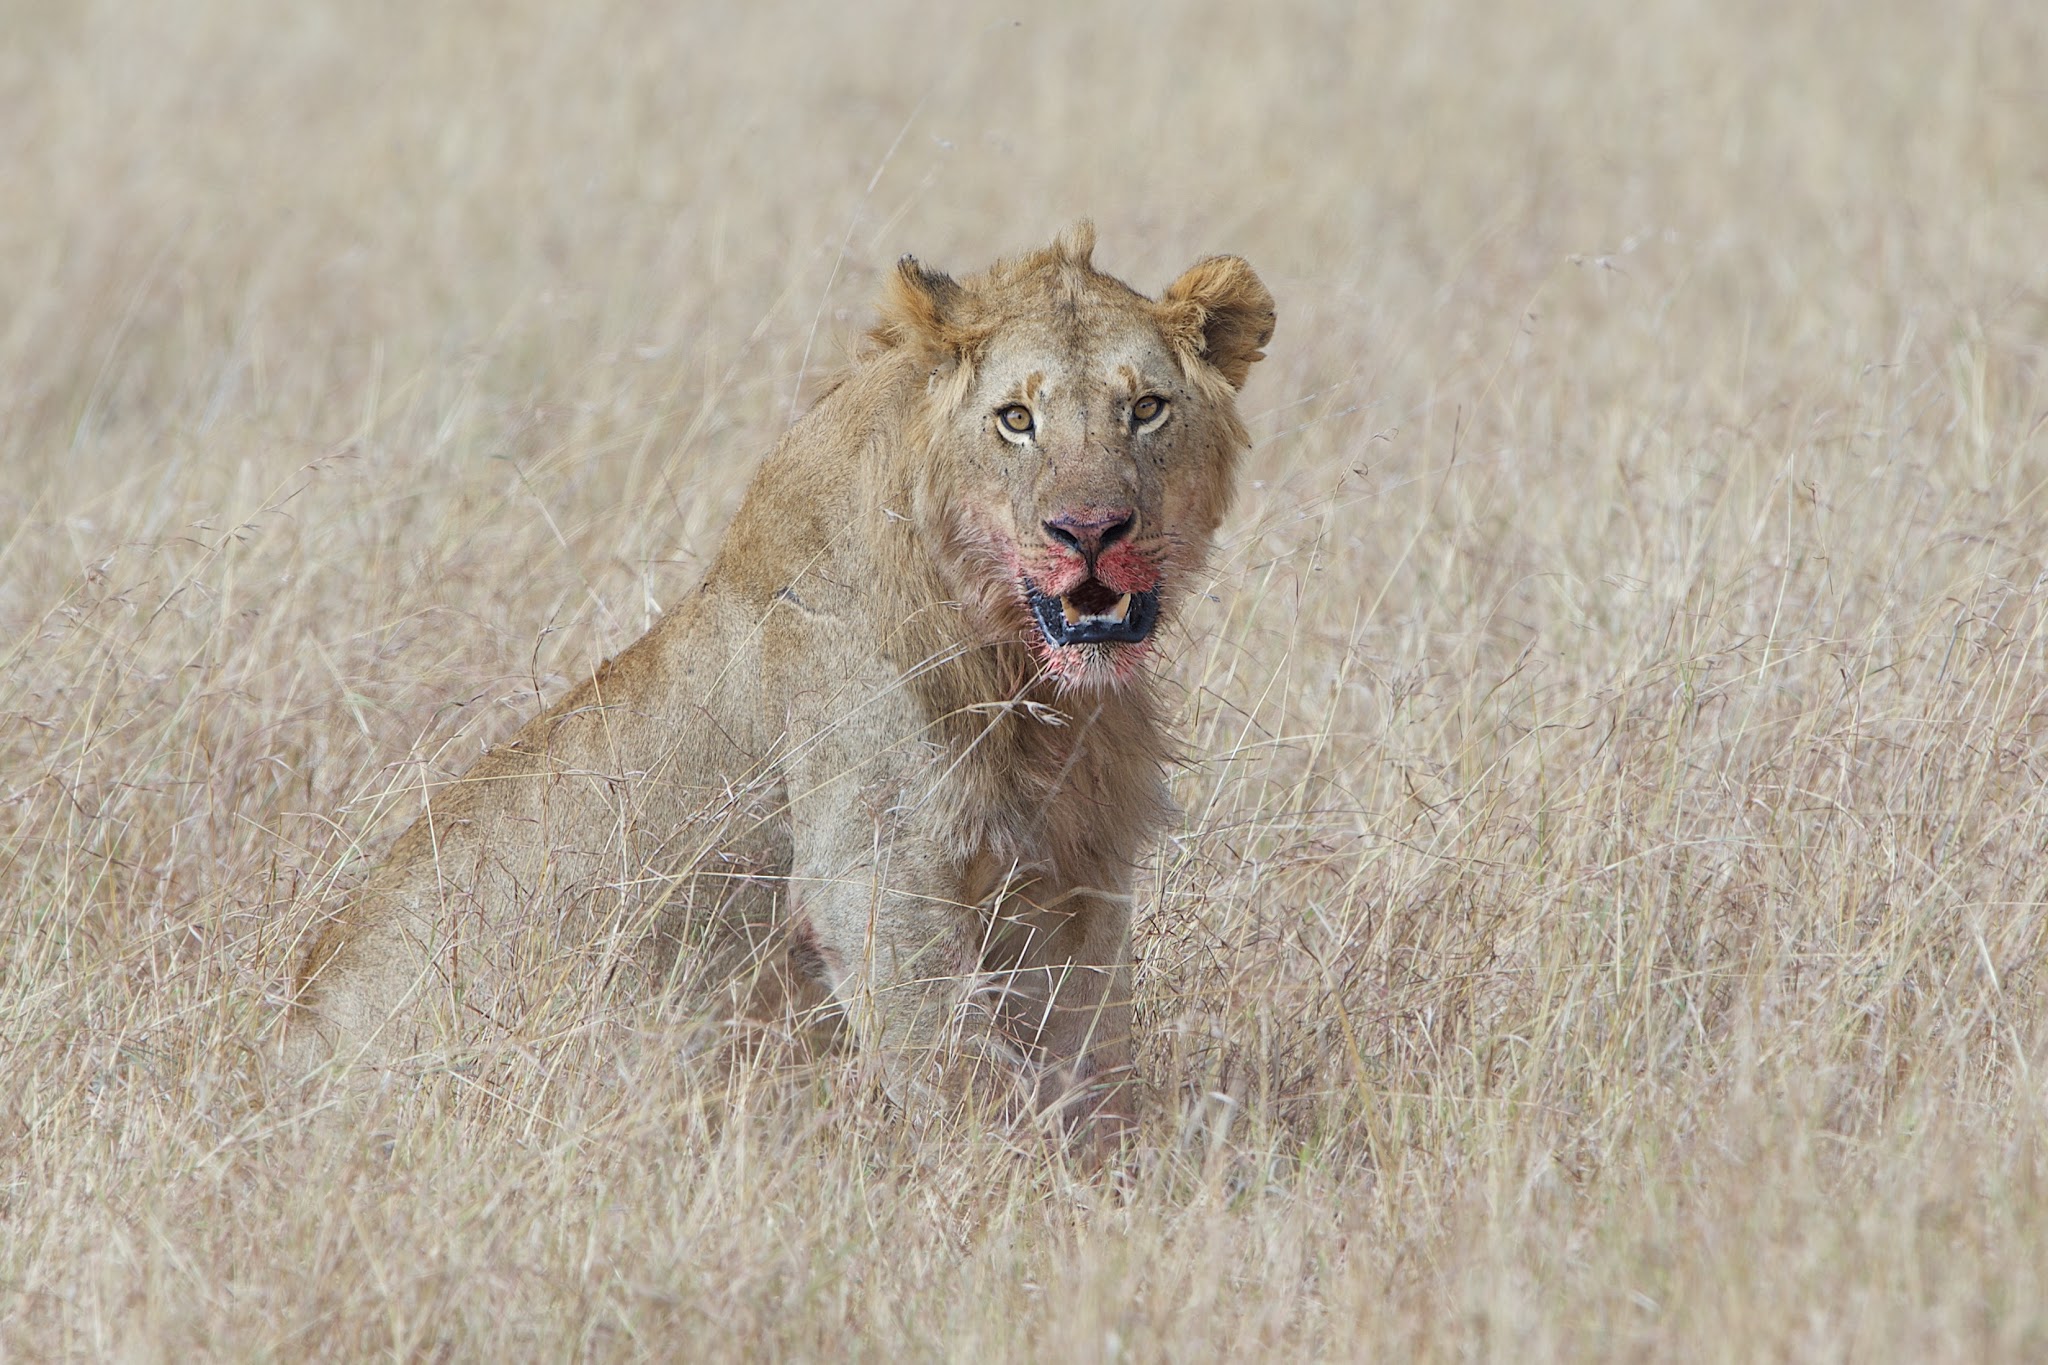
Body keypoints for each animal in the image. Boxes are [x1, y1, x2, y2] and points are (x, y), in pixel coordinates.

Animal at [284, 224, 1275, 1140]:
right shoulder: (875, 871)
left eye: (1145, 408)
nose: (1090, 529)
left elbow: (1093, 1057)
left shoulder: (1077, 869)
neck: (1023, 671)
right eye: (1015, 419)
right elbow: (962, 1078)